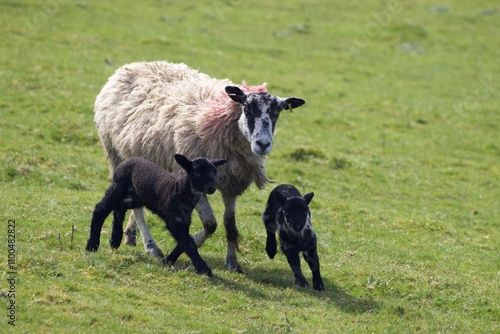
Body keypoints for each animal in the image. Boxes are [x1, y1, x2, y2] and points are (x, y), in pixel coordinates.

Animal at [86, 155, 227, 276]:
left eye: (214, 172)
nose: (211, 188)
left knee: (119, 207)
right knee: (100, 209)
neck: (179, 189)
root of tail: (128, 160)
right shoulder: (173, 218)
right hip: (118, 186)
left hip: (137, 198)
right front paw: (203, 268)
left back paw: (115, 239)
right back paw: (92, 245)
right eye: (196, 173)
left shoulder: (183, 220)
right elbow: (188, 242)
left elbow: (184, 242)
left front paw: (168, 260)